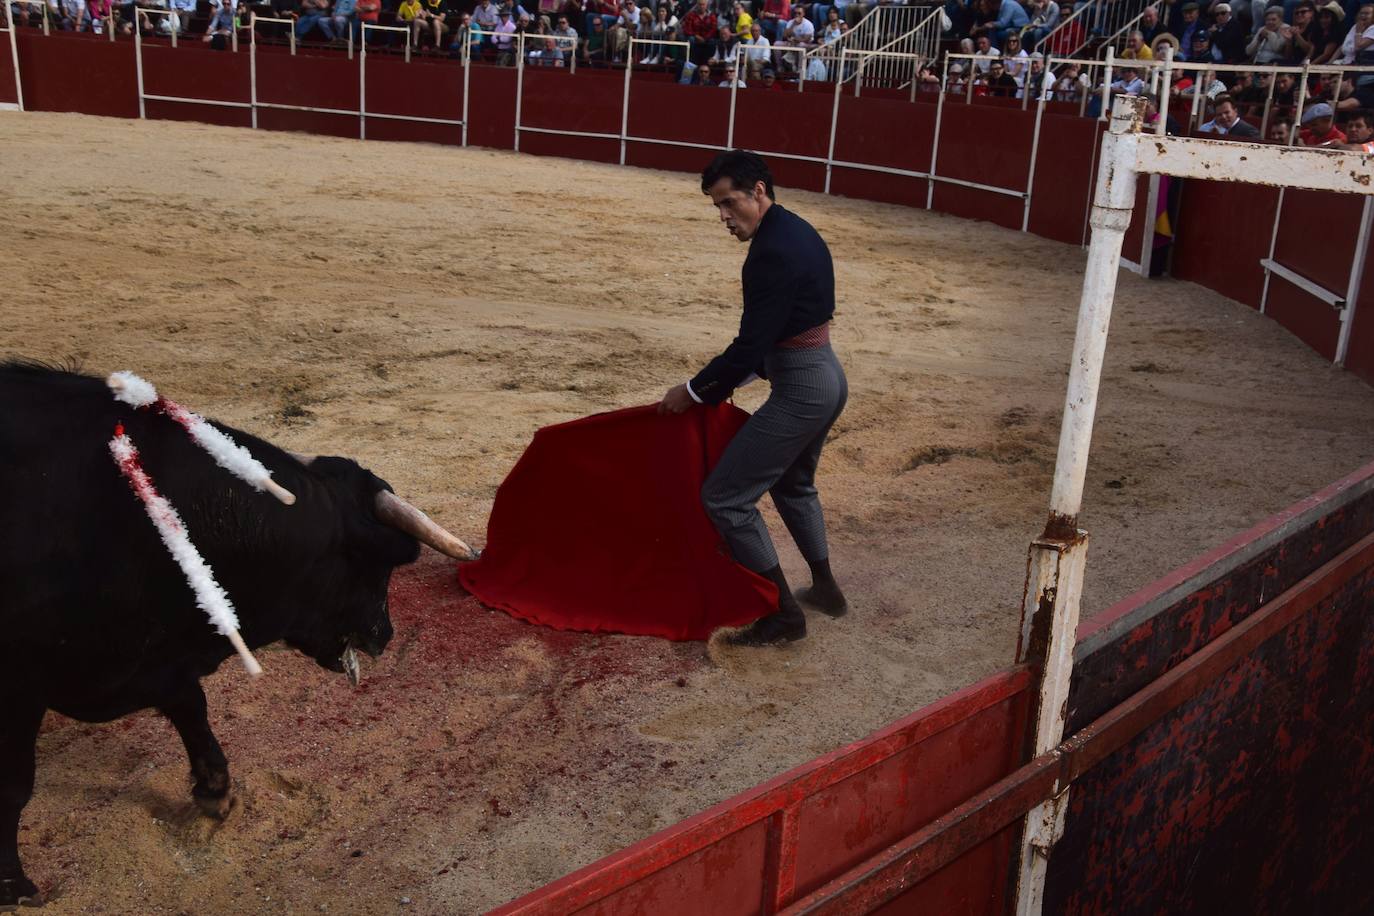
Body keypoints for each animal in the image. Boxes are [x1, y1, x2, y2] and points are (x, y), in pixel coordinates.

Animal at [0, 362, 467, 906]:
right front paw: (13, 885)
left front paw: (216, 792)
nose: (385, 635)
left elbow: (191, 707)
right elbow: (13, 786)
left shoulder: (159, 660)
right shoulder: (18, 687)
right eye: (373, 563)